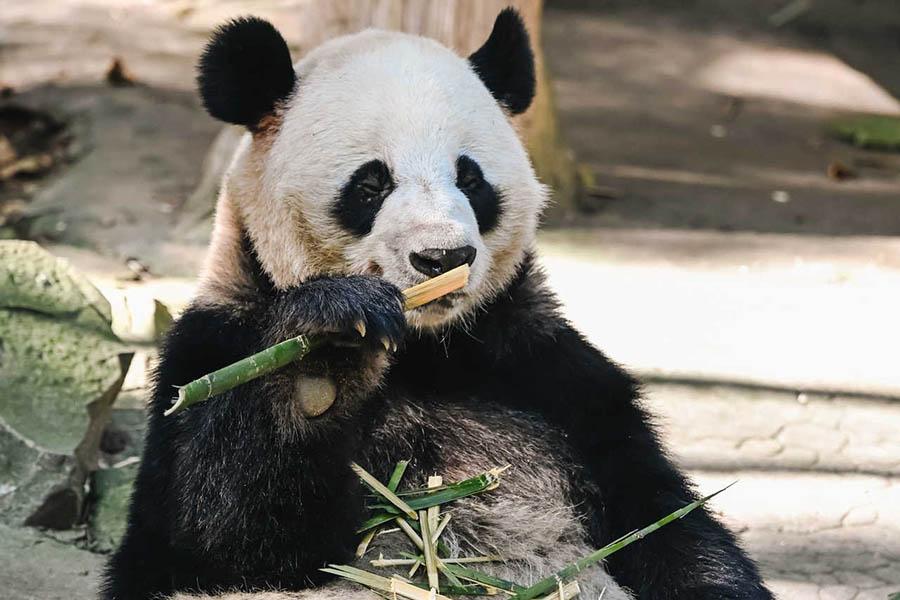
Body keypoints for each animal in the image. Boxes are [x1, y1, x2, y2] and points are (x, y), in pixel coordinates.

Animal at [102, 9, 773, 600]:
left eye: (470, 178)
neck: (427, 350)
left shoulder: (544, 368)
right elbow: (216, 538)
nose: (442, 257)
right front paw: (325, 357)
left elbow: (661, 520)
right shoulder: (212, 347)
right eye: (371, 183)